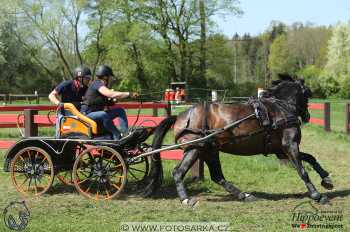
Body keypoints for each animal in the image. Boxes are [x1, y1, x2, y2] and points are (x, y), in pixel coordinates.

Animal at [143, 79, 334, 206]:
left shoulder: (280, 150)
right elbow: (302, 170)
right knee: (179, 171)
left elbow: (310, 158)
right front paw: (316, 195)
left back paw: (245, 196)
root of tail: (180, 117)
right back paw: (186, 199)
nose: (307, 116)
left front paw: (326, 179)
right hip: (195, 149)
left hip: (209, 150)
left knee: (217, 176)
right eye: (307, 94)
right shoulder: (289, 145)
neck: (281, 108)